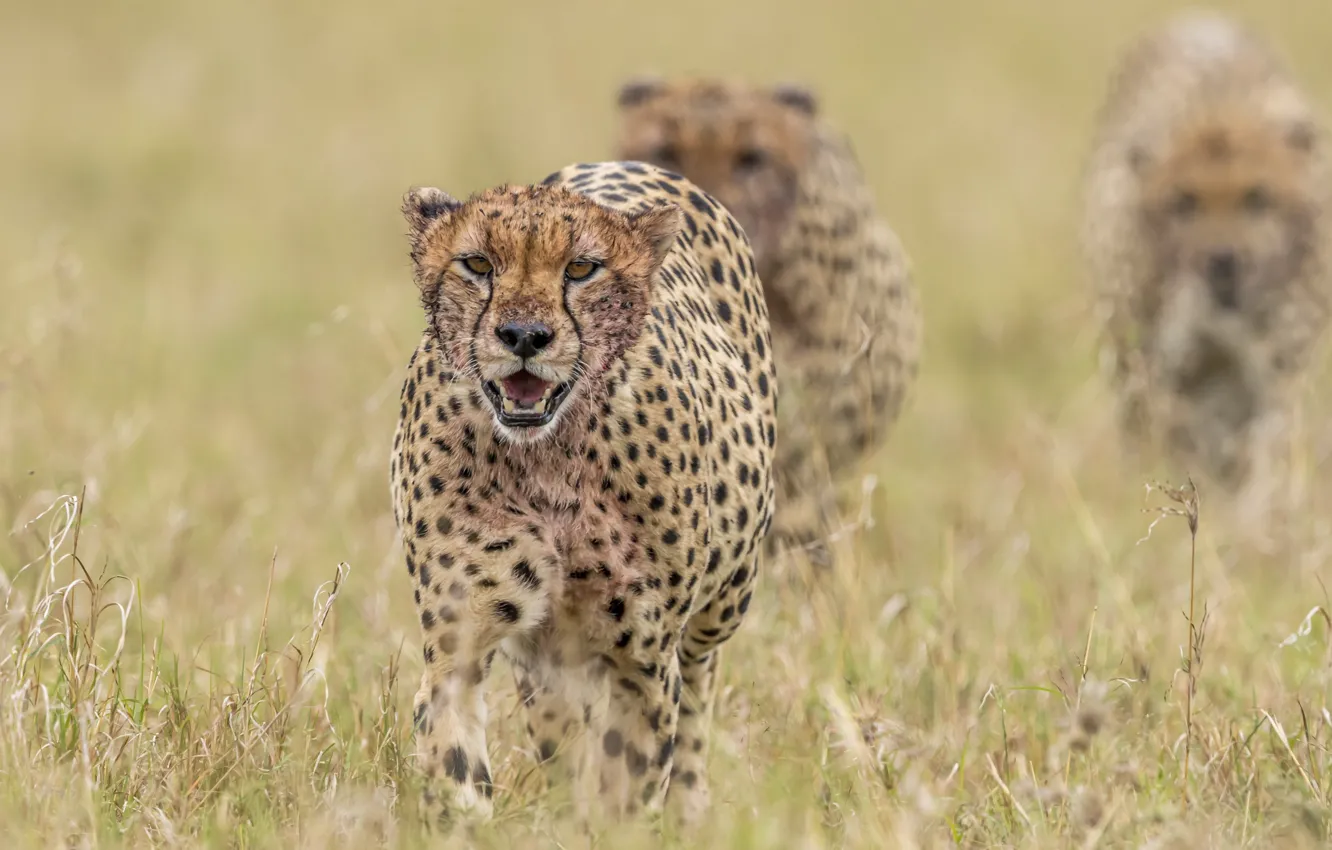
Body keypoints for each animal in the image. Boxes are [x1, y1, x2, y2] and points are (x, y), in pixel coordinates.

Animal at [390, 160, 776, 829]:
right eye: (477, 264)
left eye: (581, 269)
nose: (524, 335)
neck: (548, 456)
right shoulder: (458, 645)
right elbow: (458, 767)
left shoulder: (643, 663)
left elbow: (631, 784)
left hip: (723, 602)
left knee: (698, 693)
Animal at [1081, 11, 1332, 505]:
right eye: (1184, 202)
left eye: (1258, 198)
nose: (1223, 262)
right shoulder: (1163, 366)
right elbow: (1177, 448)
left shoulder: (1276, 371)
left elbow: (1263, 457)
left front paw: (1254, 517)